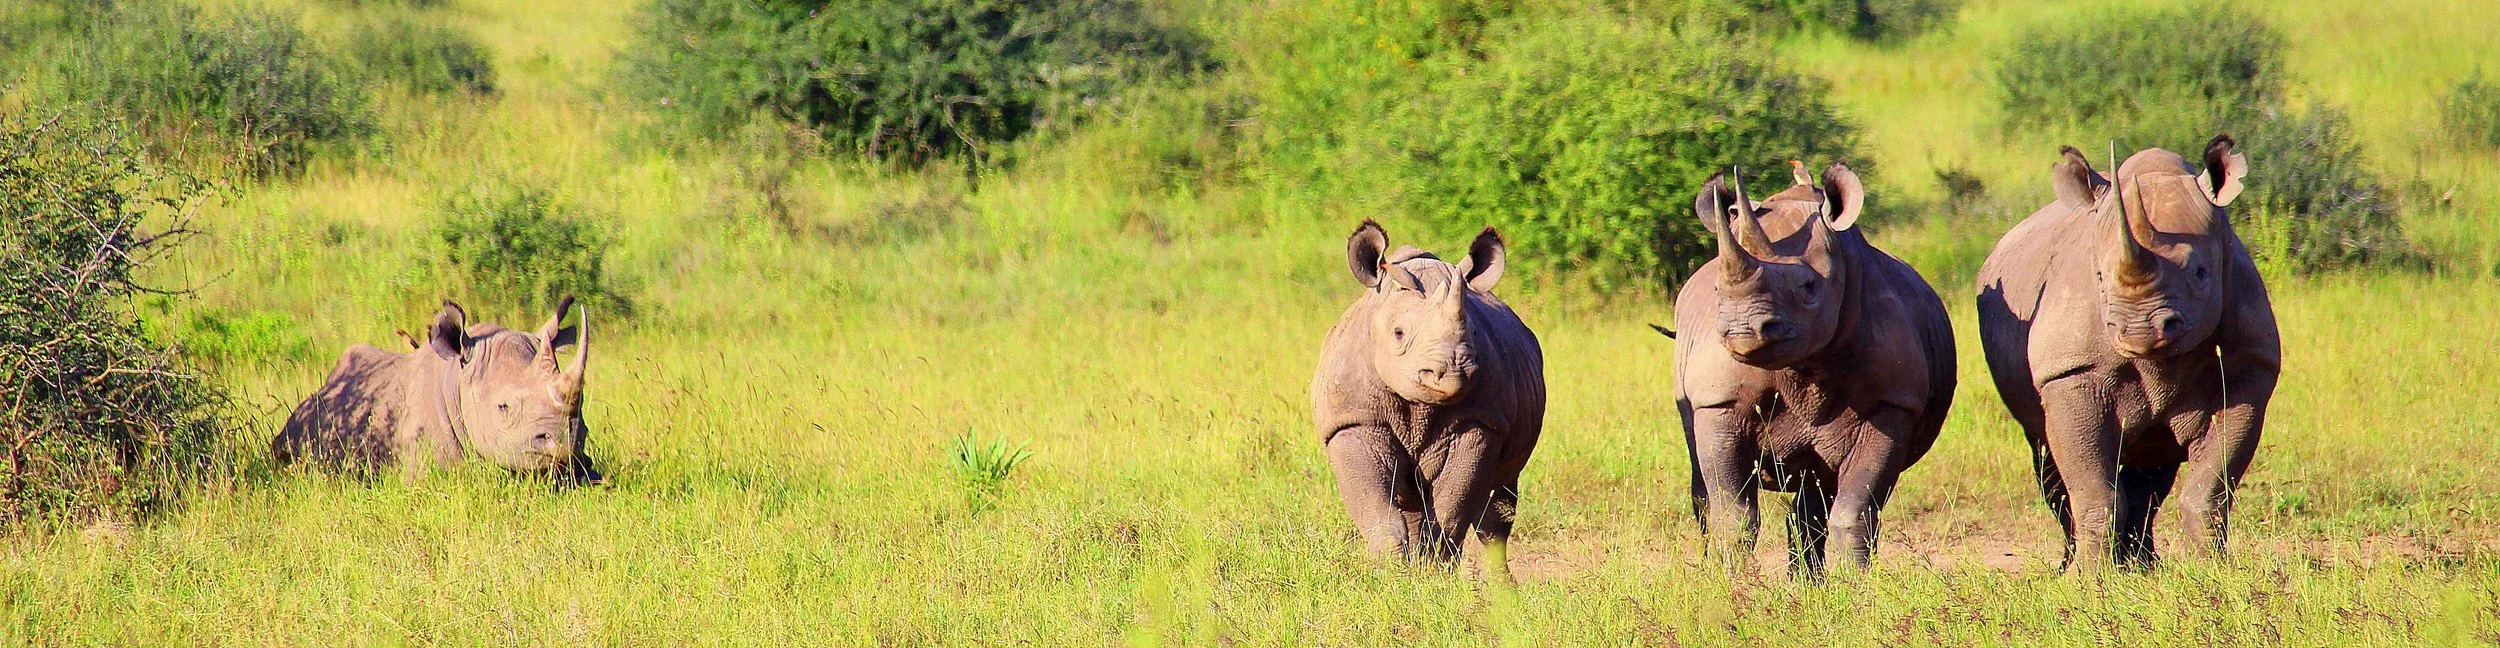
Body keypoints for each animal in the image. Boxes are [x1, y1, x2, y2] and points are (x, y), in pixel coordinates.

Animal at [1312, 221, 1545, 581]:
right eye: (1398, 334)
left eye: (1473, 334)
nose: (1451, 372)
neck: (1417, 405)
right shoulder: (1352, 420)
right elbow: (1374, 506)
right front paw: (1391, 573)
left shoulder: (1480, 422)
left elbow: (1453, 505)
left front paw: (1434, 571)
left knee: (1498, 502)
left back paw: (1502, 586)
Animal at [1671, 163, 1956, 576]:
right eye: (1717, 289)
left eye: (1808, 287)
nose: (1743, 330)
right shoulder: (1717, 401)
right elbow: (1732, 512)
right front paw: (1729, 582)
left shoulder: (1892, 403)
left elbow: (1855, 512)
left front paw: (1857, 587)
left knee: (1816, 492)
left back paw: (1808, 584)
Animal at [1976, 136, 2279, 570]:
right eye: (2100, 277)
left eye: (2201, 274)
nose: (2140, 330)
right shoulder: (2069, 372)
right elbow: (2091, 489)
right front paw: (2090, 577)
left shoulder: (2250, 363)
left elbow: (2210, 486)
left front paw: (2213, 569)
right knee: (2049, 458)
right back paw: (2080, 566)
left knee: (2150, 470)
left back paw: (2144, 566)